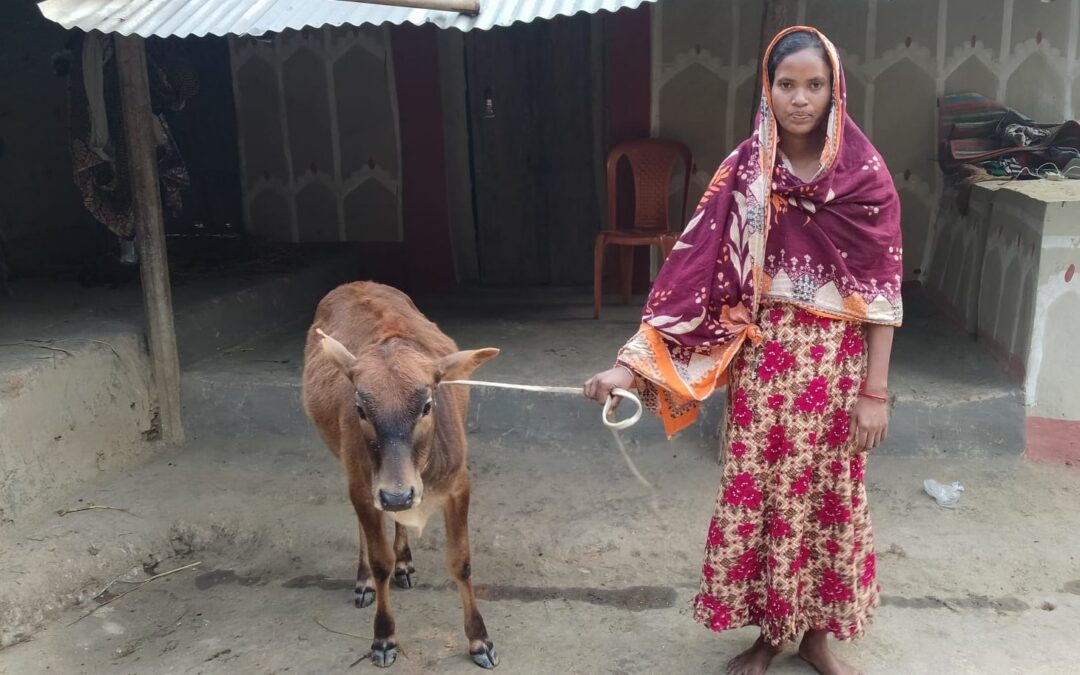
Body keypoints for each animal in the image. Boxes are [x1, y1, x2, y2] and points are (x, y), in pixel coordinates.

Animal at [302, 281, 500, 669]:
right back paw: (364, 580)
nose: (397, 494)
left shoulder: (459, 485)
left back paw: (405, 562)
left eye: (427, 405)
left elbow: (462, 562)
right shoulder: (364, 487)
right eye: (360, 408)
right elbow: (381, 562)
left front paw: (479, 640)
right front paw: (383, 637)